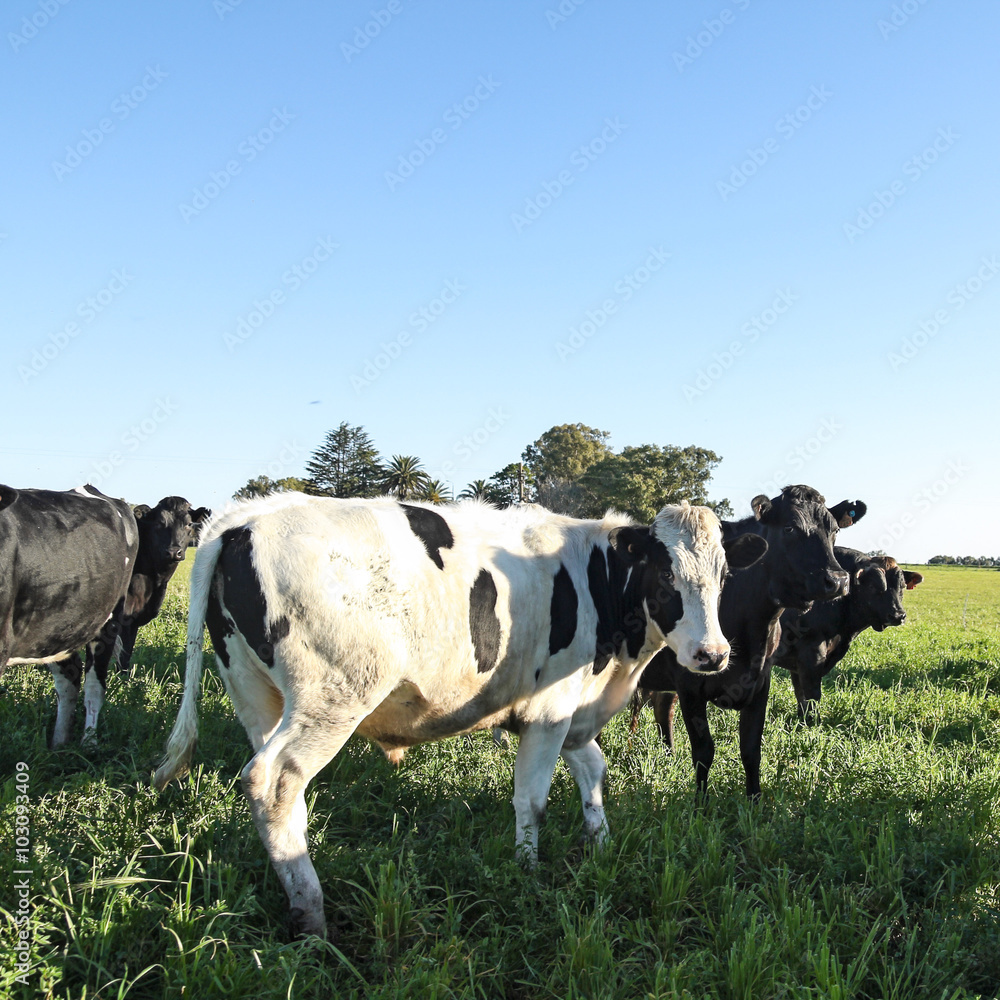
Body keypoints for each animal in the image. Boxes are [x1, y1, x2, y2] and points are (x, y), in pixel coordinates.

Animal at [0, 480, 139, 748]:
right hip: (58, 628)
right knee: (69, 680)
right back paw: (58, 743)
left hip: (107, 621)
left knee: (94, 686)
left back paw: (89, 744)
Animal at [156, 492, 764, 936]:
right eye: (665, 577)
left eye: (723, 577)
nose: (712, 654)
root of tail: (249, 516)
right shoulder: (549, 712)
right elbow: (533, 800)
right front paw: (527, 871)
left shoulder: (574, 714)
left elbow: (594, 772)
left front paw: (600, 844)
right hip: (334, 697)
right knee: (275, 781)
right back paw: (313, 914)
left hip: (257, 696)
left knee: (282, 801)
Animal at [640, 484, 868, 796]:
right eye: (789, 528)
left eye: (833, 531)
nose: (838, 580)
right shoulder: (689, 686)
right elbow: (703, 752)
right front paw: (700, 803)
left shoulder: (761, 682)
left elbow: (751, 750)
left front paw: (755, 800)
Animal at [772, 544, 920, 724]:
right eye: (873, 586)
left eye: (902, 587)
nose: (898, 615)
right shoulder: (811, 653)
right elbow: (812, 693)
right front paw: (813, 722)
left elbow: (800, 692)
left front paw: (803, 718)